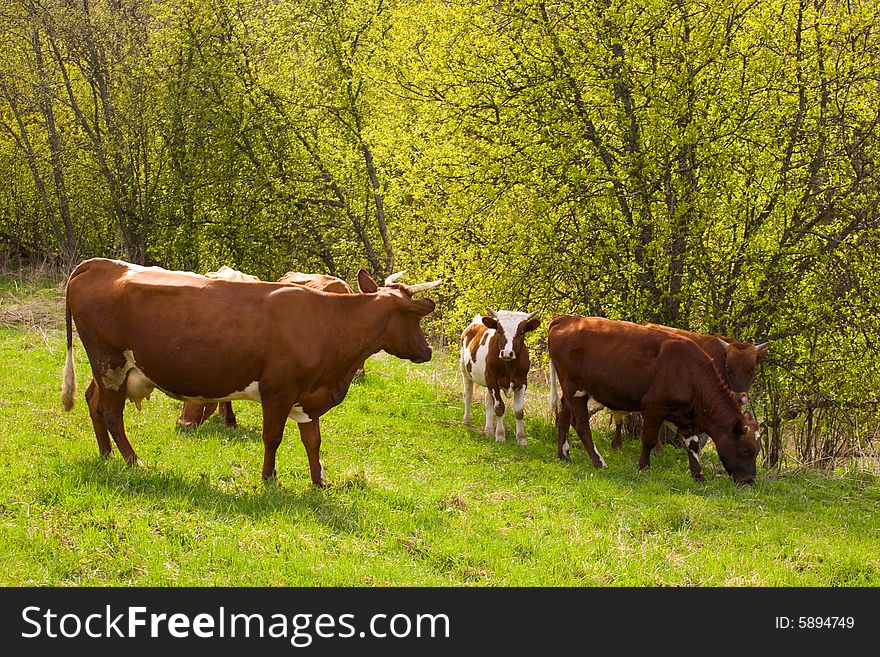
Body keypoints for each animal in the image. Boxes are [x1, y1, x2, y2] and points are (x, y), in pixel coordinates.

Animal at [460, 308, 544, 444]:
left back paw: (489, 430)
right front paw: (500, 435)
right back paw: (467, 421)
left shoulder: (522, 382)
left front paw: (521, 439)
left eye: (521, 333)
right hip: (465, 371)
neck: (509, 367)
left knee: (488, 403)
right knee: (468, 395)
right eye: (499, 331)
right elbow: (499, 408)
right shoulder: (493, 381)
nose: (506, 353)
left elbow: (519, 411)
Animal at [548, 316, 760, 484]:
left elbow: (692, 444)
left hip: (569, 390)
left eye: (757, 451)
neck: (690, 372)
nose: (749, 480)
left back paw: (564, 454)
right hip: (575, 388)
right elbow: (648, 439)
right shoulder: (654, 406)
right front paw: (644, 467)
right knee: (581, 424)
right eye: (746, 450)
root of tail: (567, 318)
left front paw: (698, 474)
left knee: (564, 414)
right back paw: (599, 461)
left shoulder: (684, 414)